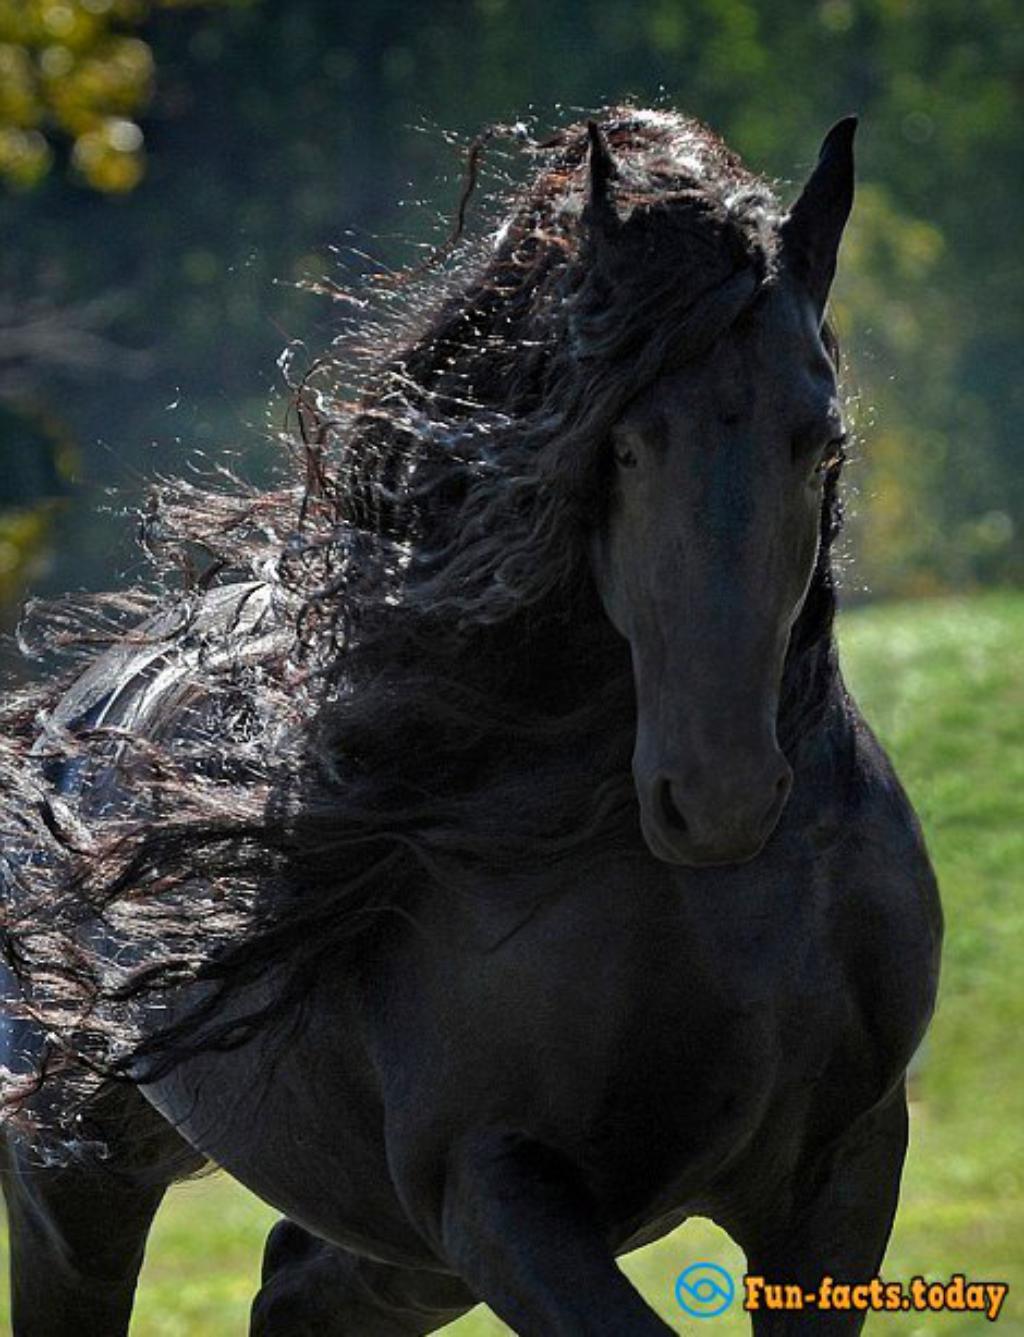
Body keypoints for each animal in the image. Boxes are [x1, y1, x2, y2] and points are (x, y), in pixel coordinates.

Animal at [2, 109, 946, 1331]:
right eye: (625, 443)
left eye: (820, 440)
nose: (720, 795)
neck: (728, 917)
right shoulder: (497, 1187)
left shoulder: (841, 1175)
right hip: (79, 1181)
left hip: (389, 1249)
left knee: (294, 1290)